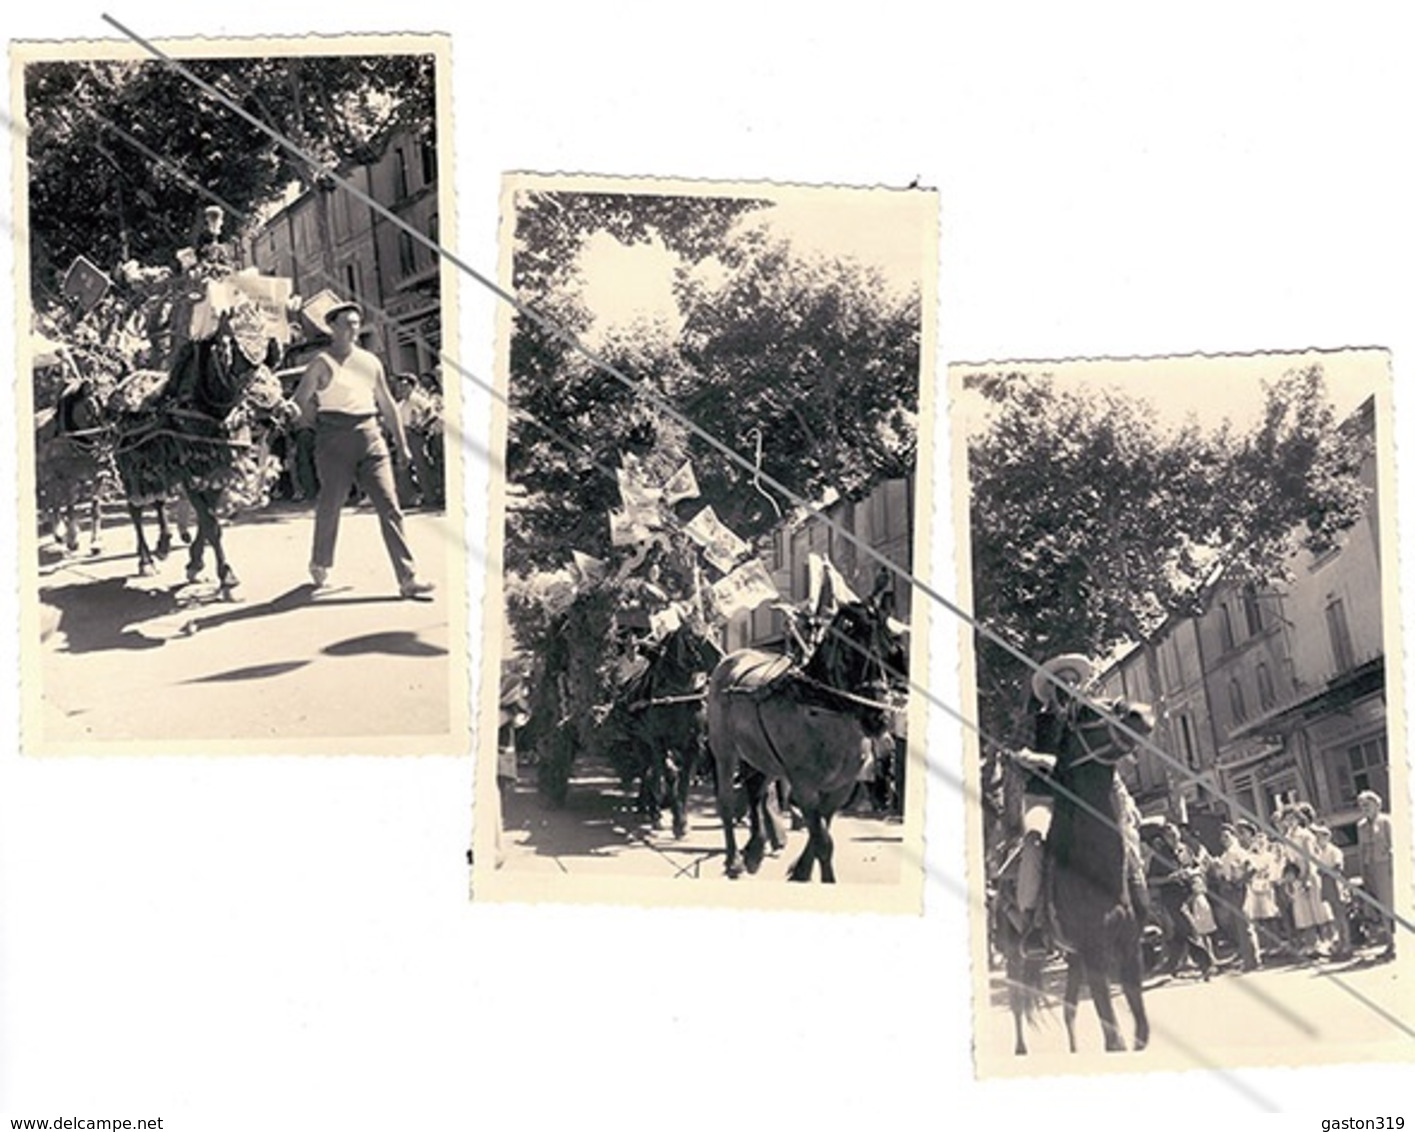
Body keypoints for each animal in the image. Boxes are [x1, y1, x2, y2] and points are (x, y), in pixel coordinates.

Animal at [707, 574, 905, 882]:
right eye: (849, 653)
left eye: (890, 651)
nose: (878, 718)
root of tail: (730, 661)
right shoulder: (804, 783)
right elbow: (823, 841)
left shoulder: (841, 787)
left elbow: (822, 831)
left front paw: (801, 870)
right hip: (725, 752)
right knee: (727, 800)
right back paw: (734, 859)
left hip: (764, 757)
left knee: (756, 791)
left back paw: (755, 848)